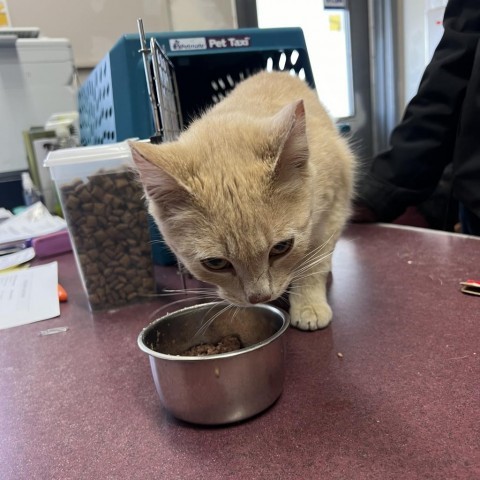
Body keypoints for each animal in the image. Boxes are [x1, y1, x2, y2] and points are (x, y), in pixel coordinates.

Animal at [129, 71, 354, 330]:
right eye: (215, 263)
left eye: (281, 248)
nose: (259, 297)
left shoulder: (334, 205)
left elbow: (315, 262)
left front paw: (309, 304)